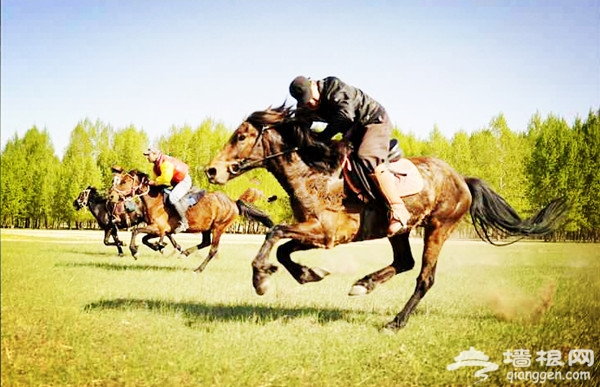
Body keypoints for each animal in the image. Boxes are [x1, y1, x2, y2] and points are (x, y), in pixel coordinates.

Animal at [108, 170, 274, 272]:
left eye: (123, 182)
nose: (111, 196)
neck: (155, 201)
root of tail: (234, 202)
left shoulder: (158, 227)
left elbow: (137, 231)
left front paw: (135, 251)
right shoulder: (160, 229)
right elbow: (145, 238)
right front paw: (158, 246)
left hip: (218, 227)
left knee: (213, 249)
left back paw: (198, 269)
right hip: (206, 227)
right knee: (205, 242)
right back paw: (184, 253)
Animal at [206, 105, 568, 330]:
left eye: (240, 136)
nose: (211, 170)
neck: (313, 173)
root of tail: (462, 179)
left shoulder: (326, 232)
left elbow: (275, 233)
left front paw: (261, 279)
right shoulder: (319, 233)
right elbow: (283, 247)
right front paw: (309, 274)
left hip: (439, 227)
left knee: (424, 278)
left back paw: (396, 321)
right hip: (400, 229)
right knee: (405, 261)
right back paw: (364, 284)